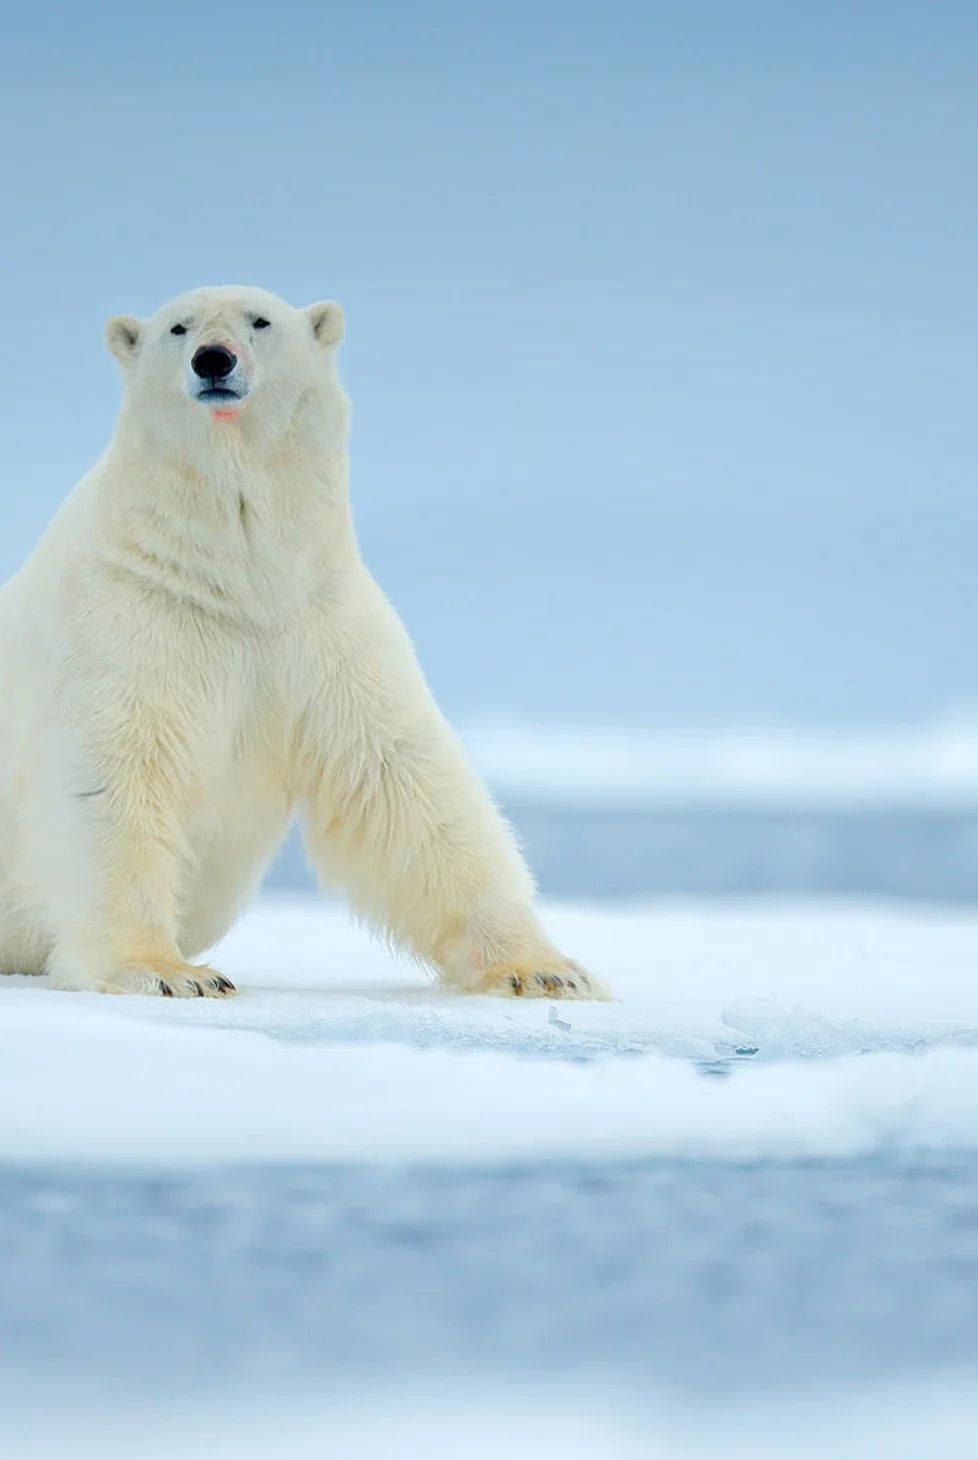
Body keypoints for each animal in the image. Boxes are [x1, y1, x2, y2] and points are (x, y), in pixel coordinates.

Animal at [0, 285, 610, 1001]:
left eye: (260, 321)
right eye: (178, 327)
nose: (214, 358)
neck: (230, 576)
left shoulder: (319, 620)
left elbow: (402, 778)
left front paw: (544, 970)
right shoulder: (129, 616)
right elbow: (117, 773)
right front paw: (170, 972)